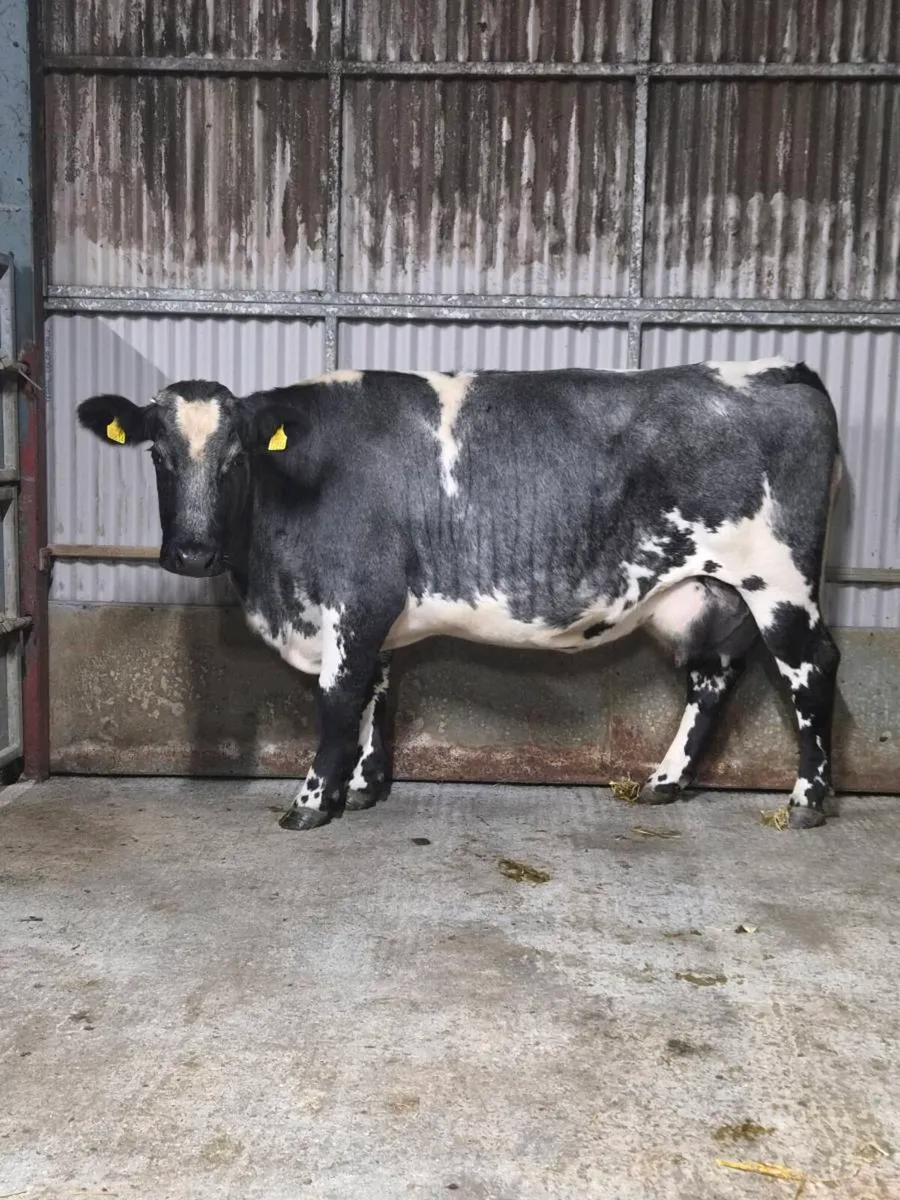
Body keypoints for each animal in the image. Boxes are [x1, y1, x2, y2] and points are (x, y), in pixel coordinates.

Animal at [77, 356, 842, 832]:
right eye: (157, 456)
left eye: (236, 458)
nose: (192, 552)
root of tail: (786, 370)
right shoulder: (377, 616)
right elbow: (375, 695)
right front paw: (364, 788)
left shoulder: (358, 596)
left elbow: (338, 699)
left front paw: (312, 801)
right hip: (711, 594)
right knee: (712, 681)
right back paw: (665, 781)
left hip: (779, 583)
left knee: (813, 671)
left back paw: (808, 799)